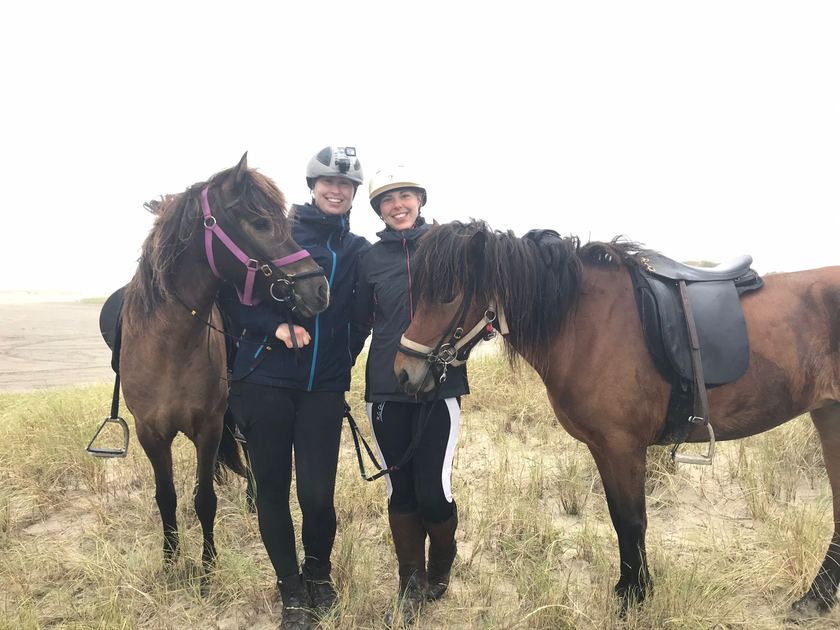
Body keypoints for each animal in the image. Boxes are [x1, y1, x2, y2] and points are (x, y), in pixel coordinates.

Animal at [119, 153, 329, 576]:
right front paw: (171, 561)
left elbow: (205, 499)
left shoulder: (209, 427)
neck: (169, 348)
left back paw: (251, 498)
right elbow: (166, 497)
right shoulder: (151, 433)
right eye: (260, 222)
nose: (319, 289)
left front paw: (208, 566)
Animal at [393, 220, 840, 619]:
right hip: (829, 417)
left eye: (448, 295)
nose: (403, 374)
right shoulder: (604, 448)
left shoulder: (622, 446)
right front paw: (630, 589)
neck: (583, 322)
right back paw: (815, 599)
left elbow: (631, 522)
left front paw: (633, 598)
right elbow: (620, 520)